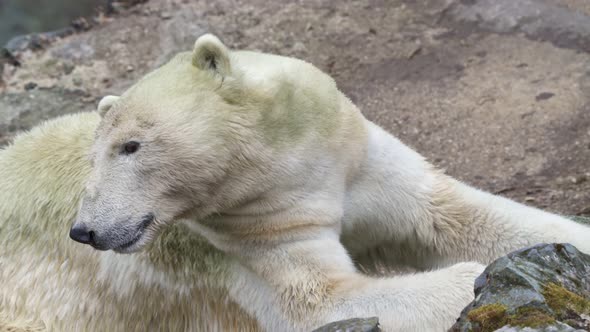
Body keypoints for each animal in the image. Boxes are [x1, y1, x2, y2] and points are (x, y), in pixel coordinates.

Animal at [71, 35, 590, 330]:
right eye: (93, 157)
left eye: (131, 146)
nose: (84, 230)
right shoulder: (247, 230)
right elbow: (326, 302)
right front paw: (481, 281)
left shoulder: (349, 161)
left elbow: (451, 214)